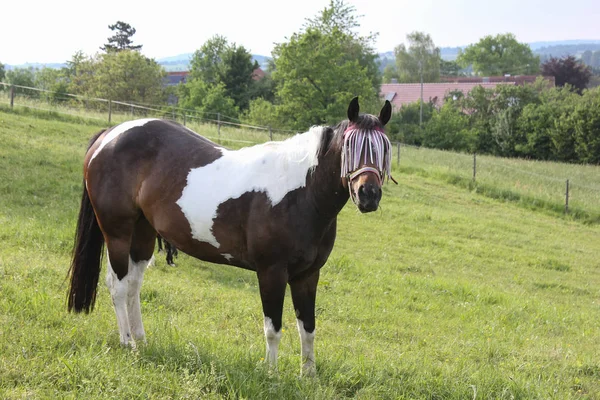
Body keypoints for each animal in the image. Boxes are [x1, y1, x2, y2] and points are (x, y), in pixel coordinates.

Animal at [67, 97, 394, 376]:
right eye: (350, 145)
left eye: (385, 148)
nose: (368, 194)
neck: (300, 194)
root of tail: (110, 134)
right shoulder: (271, 272)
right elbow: (273, 328)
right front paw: (271, 376)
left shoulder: (307, 275)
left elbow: (308, 328)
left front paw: (308, 377)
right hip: (117, 232)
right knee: (119, 286)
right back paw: (126, 343)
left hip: (142, 233)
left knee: (134, 285)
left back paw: (141, 341)